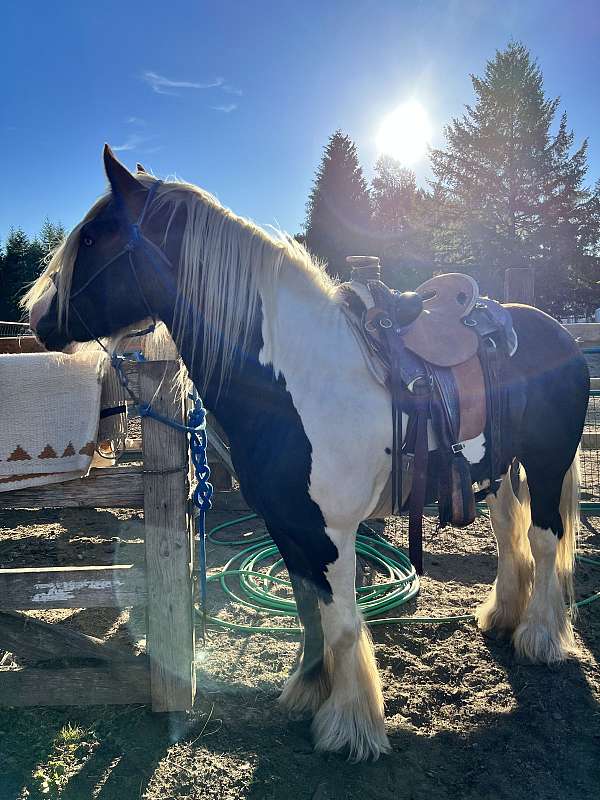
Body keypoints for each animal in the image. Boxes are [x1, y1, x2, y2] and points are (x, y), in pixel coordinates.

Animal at [24, 147, 592, 760]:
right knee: (510, 529)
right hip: (500, 467)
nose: (36, 315)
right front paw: (306, 688)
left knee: (544, 536)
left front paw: (349, 726)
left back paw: (539, 637)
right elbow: (307, 609)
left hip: (548, 461)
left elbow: (341, 621)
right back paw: (502, 617)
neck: (300, 378)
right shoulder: (288, 523)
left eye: (94, 236)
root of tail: (555, 331)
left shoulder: (330, 532)